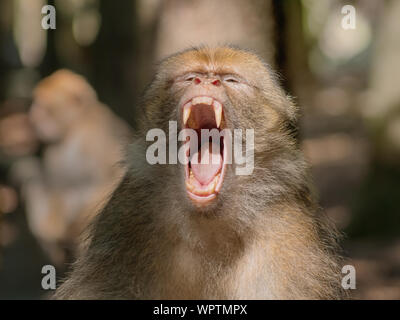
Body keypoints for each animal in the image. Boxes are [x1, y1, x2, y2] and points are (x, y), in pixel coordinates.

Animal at [55, 47, 344, 300]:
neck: (209, 225)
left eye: (230, 80)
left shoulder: (289, 227)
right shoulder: (127, 216)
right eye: (189, 77)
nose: (206, 80)